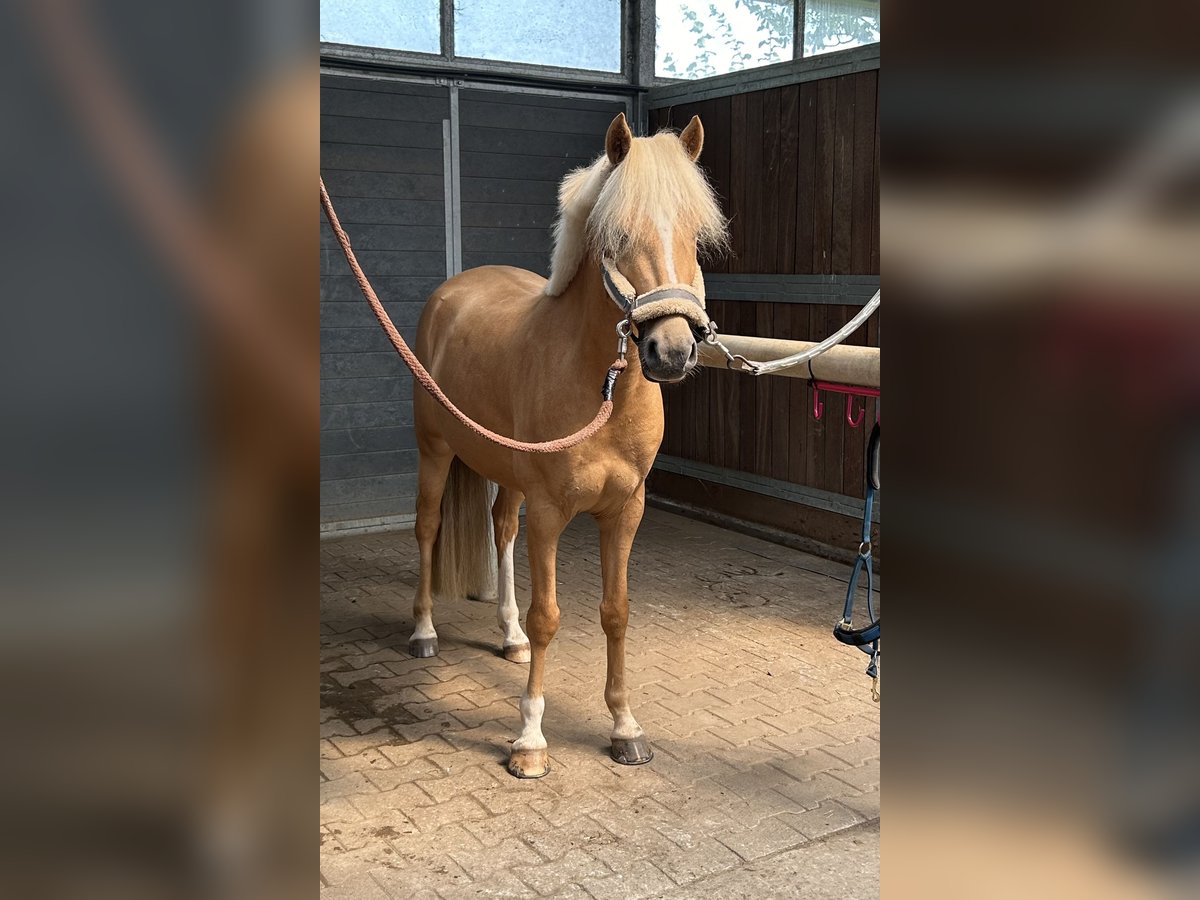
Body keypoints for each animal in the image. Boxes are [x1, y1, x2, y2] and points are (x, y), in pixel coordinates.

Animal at [408, 111, 724, 777]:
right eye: (616, 236)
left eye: (694, 233)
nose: (672, 351)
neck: (599, 388)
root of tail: (452, 293)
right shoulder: (552, 514)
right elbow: (549, 616)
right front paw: (530, 739)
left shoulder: (625, 511)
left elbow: (616, 611)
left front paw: (625, 726)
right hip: (435, 452)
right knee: (426, 527)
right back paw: (422, 632)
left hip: (504, 475)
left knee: (501, 528)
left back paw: (509, 639)